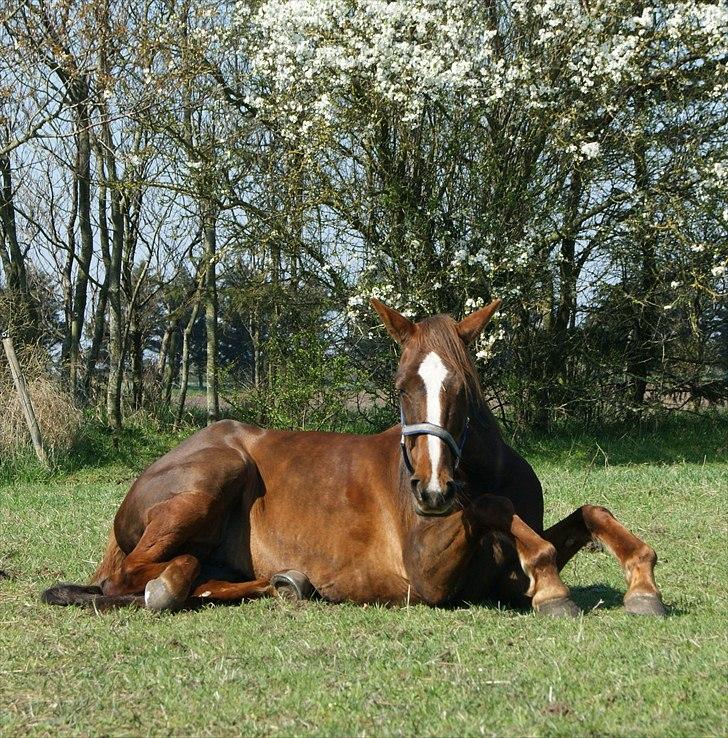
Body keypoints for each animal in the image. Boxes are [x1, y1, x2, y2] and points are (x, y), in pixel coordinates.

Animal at [39, 300, 664, 616]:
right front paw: (555, 588)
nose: (431, 492)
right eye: (400, 385)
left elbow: (587, 514)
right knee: (131, 578)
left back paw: (286, 583)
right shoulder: (431, 577)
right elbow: (493, 508)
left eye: (463, 386)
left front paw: (641, 584)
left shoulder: (503, 571)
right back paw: (171, 583)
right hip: (216, 475)